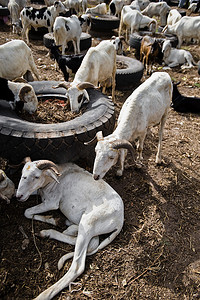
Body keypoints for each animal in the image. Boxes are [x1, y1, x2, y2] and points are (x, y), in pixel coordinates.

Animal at [16, 157, 123, 300]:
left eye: (37, 176)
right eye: (22, 174)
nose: (19, 196)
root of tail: (120, 220)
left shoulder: (51, 203)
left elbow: (27, 212)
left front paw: (54, 220)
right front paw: (55, 220)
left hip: (88, 222)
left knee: (77, 266)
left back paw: (44, 295)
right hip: (90, 227)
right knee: (90, 242)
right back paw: (53, 231)